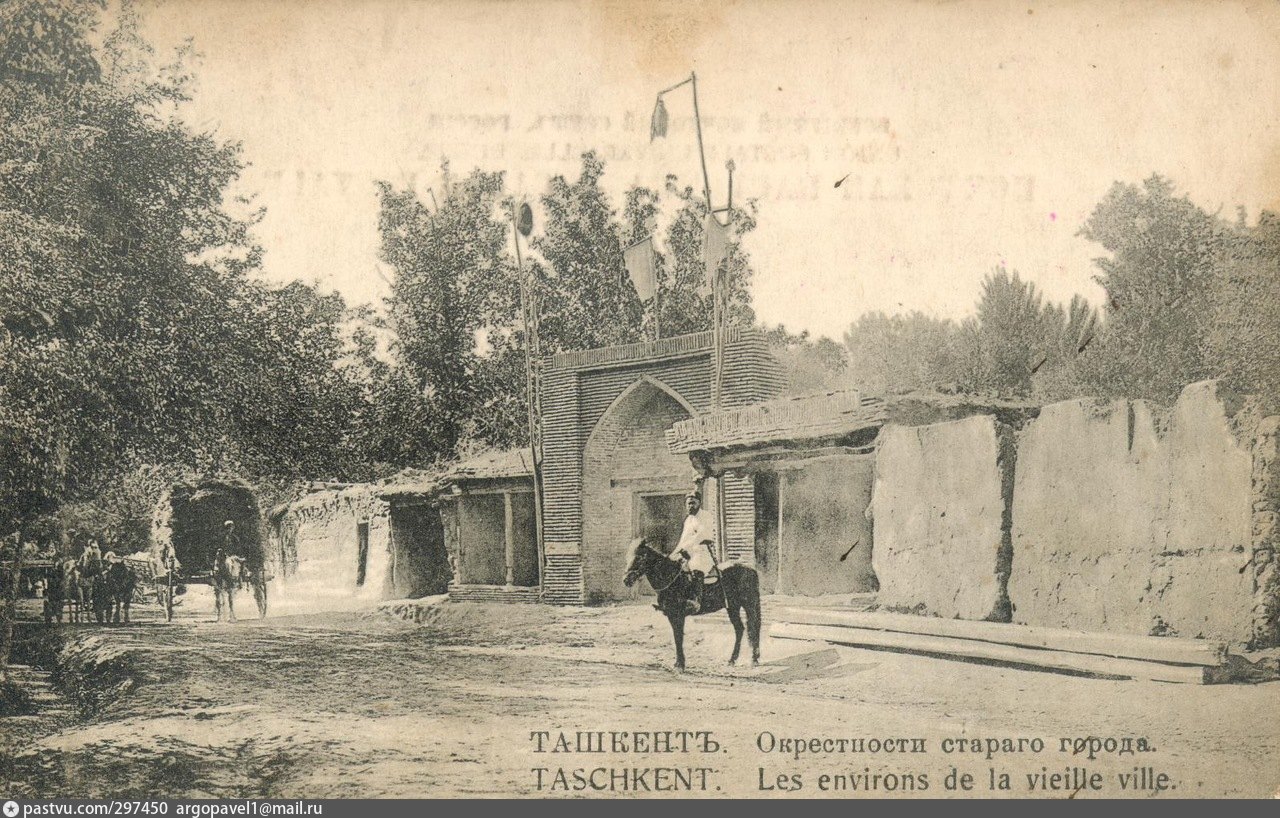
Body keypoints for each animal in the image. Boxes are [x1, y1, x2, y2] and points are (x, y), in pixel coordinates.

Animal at [622, 540, 757, 670]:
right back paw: (732, 660)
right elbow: (676, 637)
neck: (672, 579)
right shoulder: (671, 615)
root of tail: (750, 569)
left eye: (639, 557)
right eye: (627, 556)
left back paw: (754, 659)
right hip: (733, 607)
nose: (626, 580)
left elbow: (679, 637)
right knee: (740, 629)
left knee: (753, 627)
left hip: (749, 605)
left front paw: (681, 664)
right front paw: (678, 663)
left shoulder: (679, 615)